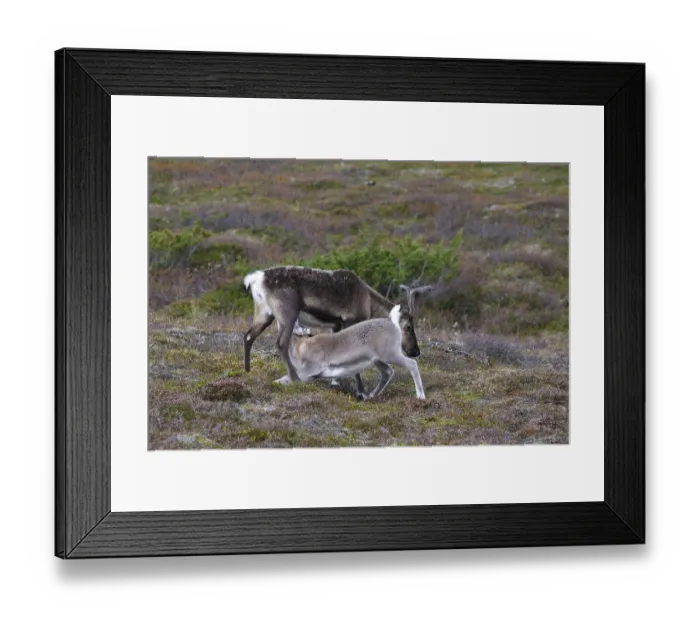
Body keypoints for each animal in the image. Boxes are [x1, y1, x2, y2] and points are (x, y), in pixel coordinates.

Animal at [288, 305, 426, 399]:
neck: (300, 347)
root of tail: (392, 322)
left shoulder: (309, 370)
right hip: (377, 359)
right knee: (388, 371)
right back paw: (371, 395)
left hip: (390, 355)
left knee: (412, 364)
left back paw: (420, 396)